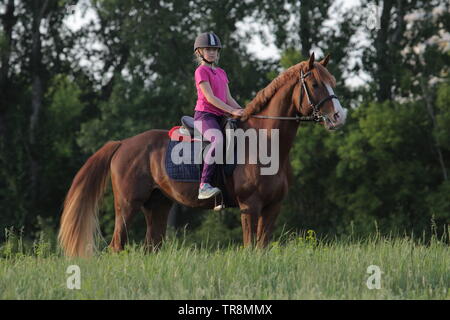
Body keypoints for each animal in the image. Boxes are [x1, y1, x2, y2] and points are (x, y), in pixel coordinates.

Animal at [59, 52, 348, 258]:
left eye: (332, 82)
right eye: (315, 84)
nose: (338, 117)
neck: (265, 143)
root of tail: (123, 144)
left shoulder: (273, 207)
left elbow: (262, 249)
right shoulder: (250, 206)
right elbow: (251, 248)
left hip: (158, 205)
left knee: (151, 247)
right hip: (127, 205)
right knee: (117, 245)